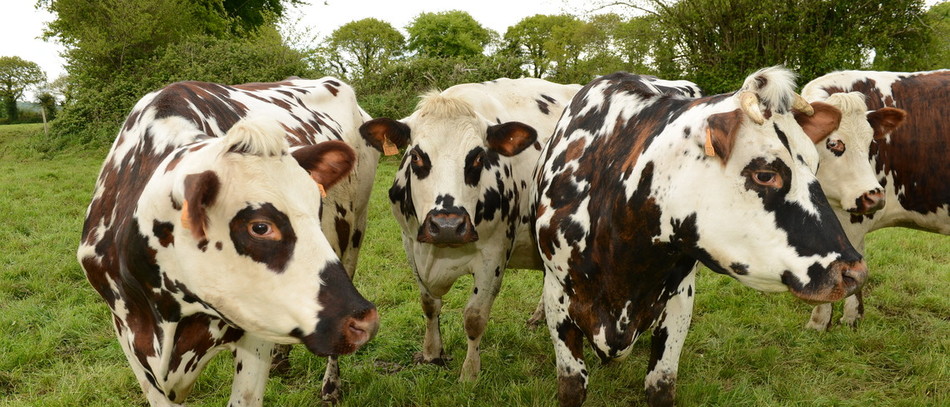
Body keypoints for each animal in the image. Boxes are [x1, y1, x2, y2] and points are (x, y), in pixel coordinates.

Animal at [77, 77, 394, 406]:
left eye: (317, 207)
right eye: (260, 227)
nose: (364, 321)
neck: (168, 314)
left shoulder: (254, 334)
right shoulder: (127, 331)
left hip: (354, 233)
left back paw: (330, 385)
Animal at [357, 77, 581, 381]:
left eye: (477, 157)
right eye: (416, 156)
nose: (448, 225)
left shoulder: (494, 254)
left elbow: (474, 317)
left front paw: (470, 374)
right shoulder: (411, 245)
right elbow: (428, 304)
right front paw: (431, 352)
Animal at [534, 67, 866, 406]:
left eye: (816, 165)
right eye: (765, 174)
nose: (853, 272)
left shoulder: (679, 301)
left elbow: (660, 385)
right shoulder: (558, 297)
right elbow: (572, 386)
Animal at [801, 70, 947, 331]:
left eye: (871, 143)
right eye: (833, 142)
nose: (875, 196)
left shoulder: (853, 215)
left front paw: (818, 323)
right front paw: (852, 317)